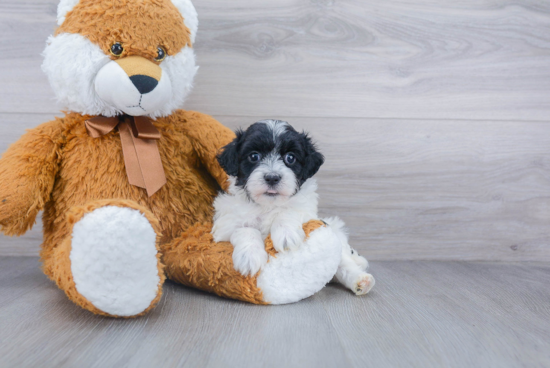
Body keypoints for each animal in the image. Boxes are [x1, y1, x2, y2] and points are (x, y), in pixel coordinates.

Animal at [211, 121, 376, 296]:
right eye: (254, 156)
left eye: (290, 158)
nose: (272, 177)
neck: (268, 205)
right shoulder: (224, 225)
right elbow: (245, 229)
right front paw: (249, 256)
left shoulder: (309, 214)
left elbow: (288, 211)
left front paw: (286, 235)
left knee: (343, 263)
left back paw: (361, 280)